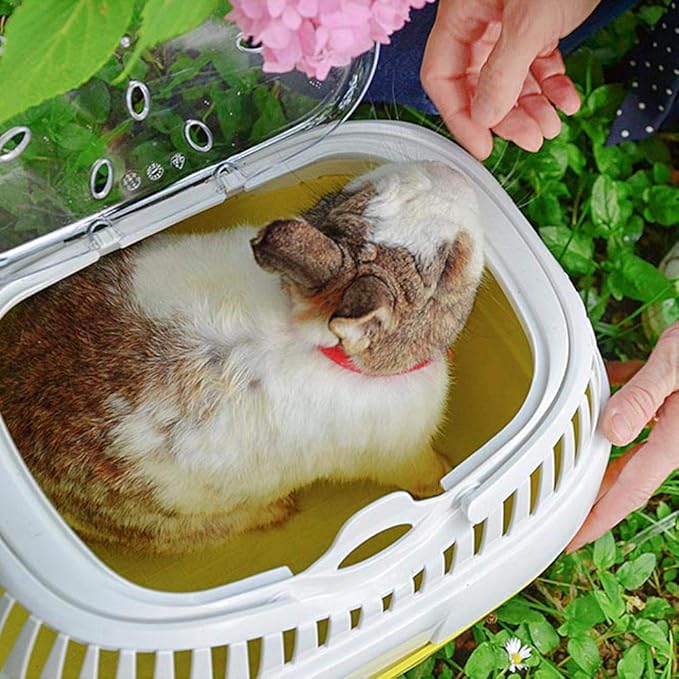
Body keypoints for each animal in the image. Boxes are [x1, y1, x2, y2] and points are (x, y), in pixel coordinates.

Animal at [0, 161, 484, 554]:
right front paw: (444, 473)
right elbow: (418, 471)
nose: (456, 173)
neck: (313, 335)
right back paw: (279, 510)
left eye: (363, 190)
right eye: (449, 264)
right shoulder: (398, 453)